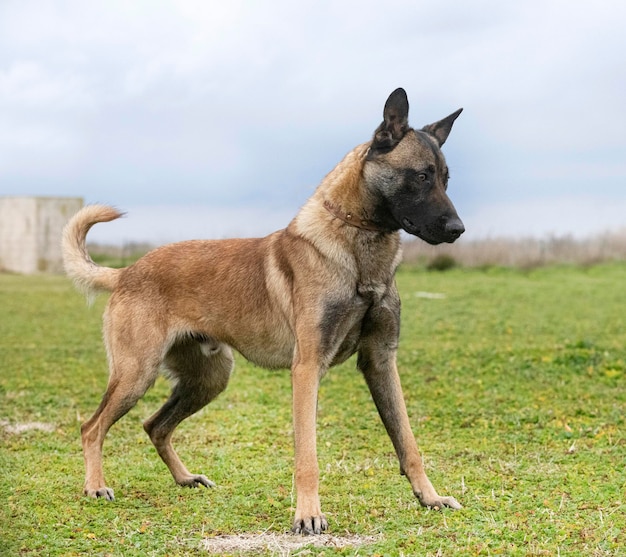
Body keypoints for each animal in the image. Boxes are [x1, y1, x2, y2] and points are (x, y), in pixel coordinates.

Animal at [63, 88, 464, 536]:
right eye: (422, 176)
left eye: (445, 179)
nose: (458, 229)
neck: (359, 251)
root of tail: (126, 272)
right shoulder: (307, 368)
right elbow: (308, 456)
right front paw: (308, 514)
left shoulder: (380, 362)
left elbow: (408, 442)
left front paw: (430, 497)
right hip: (137, 374)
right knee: (92, 427)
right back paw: (95, 486)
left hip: (209, 379)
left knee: (155, 426)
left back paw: (185, 478)